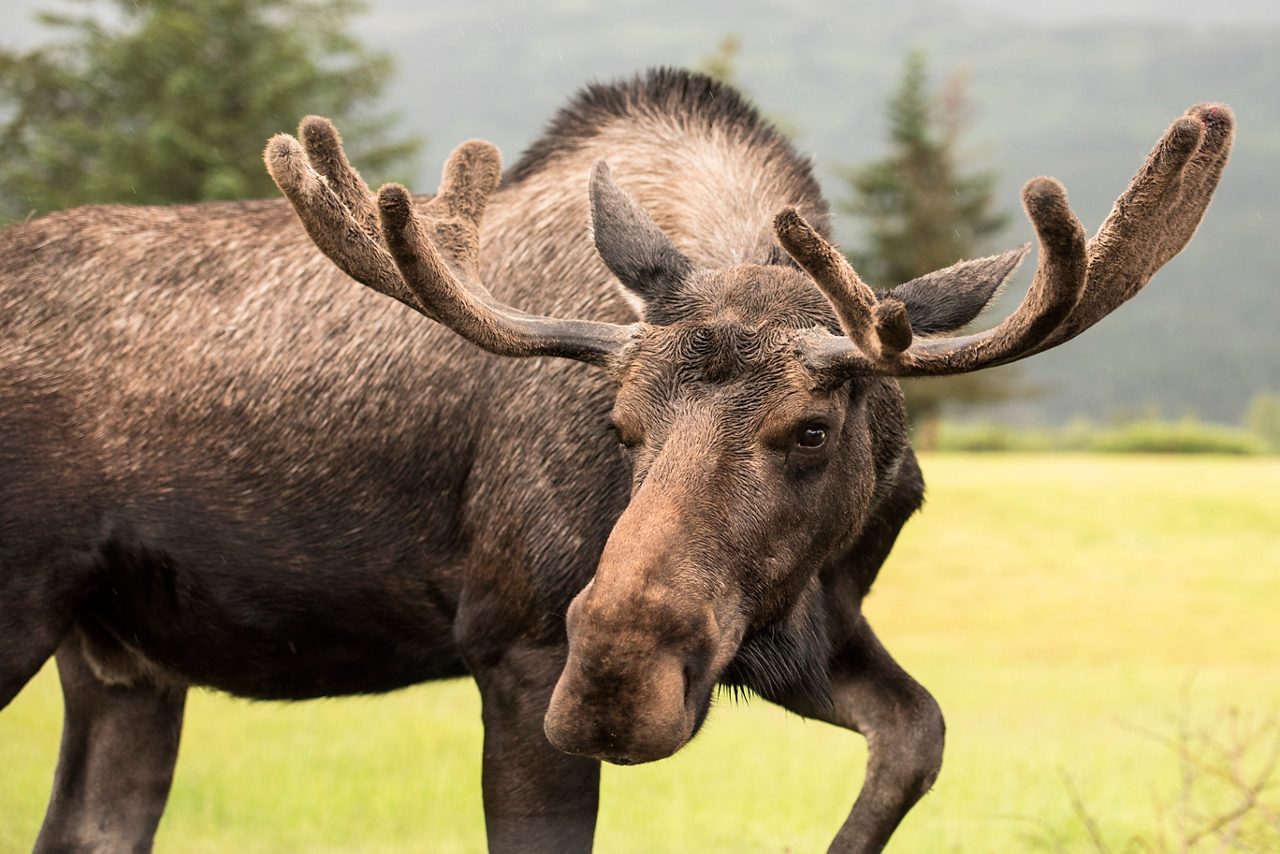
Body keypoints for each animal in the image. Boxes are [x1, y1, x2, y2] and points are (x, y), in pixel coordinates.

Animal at [0, 69, 1232, 852]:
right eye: (620, 422)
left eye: (813, 429)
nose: (614, 678)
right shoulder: (516, 647)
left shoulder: (797, 626)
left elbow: (917, 735)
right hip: (25, 610)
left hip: (120, 656)